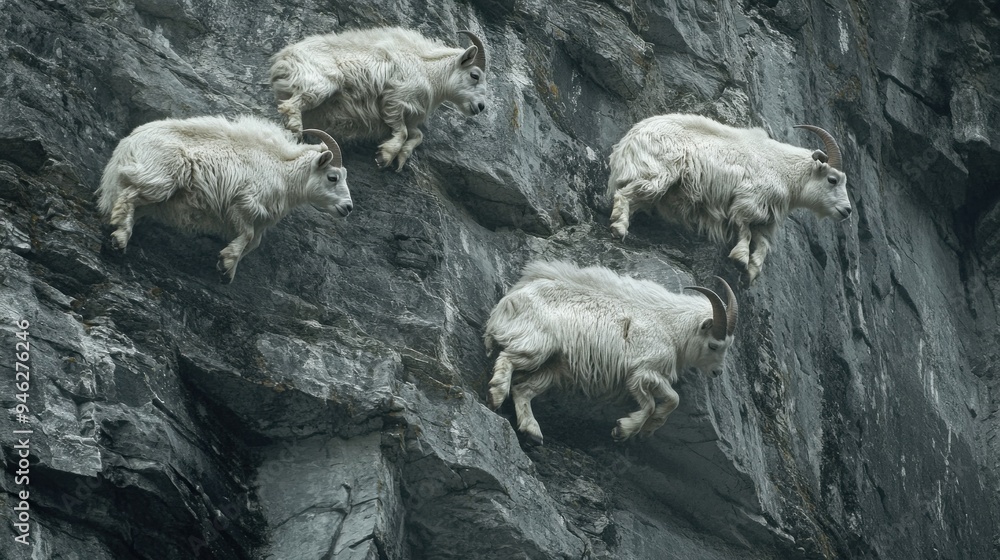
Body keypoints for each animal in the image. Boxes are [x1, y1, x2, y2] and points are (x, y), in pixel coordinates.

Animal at [97, 115, 352, 282]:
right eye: (332, 177)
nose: (348, 207)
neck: (282, 171)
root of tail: (128, 144)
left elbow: (253, 242)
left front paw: (228, 266)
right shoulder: (241, 203)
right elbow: (247, 235)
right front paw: (227, 264)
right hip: (160, 178)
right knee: (129, 195)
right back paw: (120, 238)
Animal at [269, 26, 488, 171]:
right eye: (474, 75)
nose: (480, 106)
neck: (429, 73)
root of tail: (283, 58)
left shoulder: (412, 115)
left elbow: (417, 135)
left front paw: (401, 159)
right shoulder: (395, 100)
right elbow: (402, 132)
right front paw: (384, 156)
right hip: (320, 83)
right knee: (291, 105)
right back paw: (296, 130)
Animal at [484, 261, 737, 444]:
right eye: (713, 345)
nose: (717, 372)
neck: (670, 327)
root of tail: (508, 301)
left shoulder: (646, 374)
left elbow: (668, 400)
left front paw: (642, 429)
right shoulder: (643, 371)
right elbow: (662, 401)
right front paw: (624, 429)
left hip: (554, 366)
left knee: (523, 390)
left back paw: (533, 432)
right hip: (536, 345)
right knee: (507, 359)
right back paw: (496, 395)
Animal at [607, 114, 851, 281]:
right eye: (832, 180)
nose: (847, 211)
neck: (784, 169)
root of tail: (628, 142)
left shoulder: (766, 216)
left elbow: (762, 244)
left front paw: (751, 273)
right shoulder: (748, 200)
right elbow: (744, 229)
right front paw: (740, 259)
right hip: (657, 173)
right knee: (625, 193)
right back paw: (619, 228)